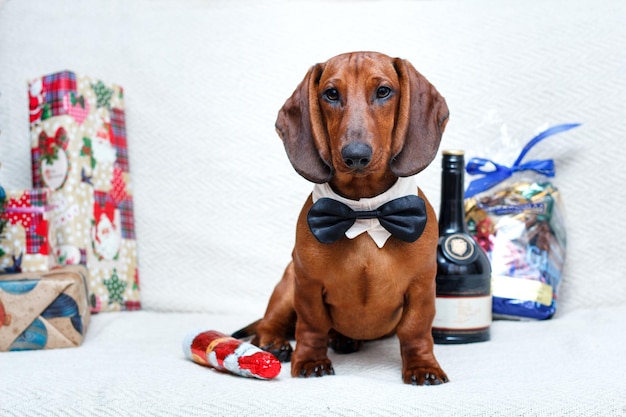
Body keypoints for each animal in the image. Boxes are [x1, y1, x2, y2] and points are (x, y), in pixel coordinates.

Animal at [235, 50, 448, 386]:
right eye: (331, 94)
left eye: (384, 91)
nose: (356, 155)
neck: (363, 211)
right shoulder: (307, 285)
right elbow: (311, 326)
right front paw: (310, 360)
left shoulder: (422, 286)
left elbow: (415, 330)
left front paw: (422, 366)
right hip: (288, 282)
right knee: (268, 325)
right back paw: (275, 342)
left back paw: (345, 339)